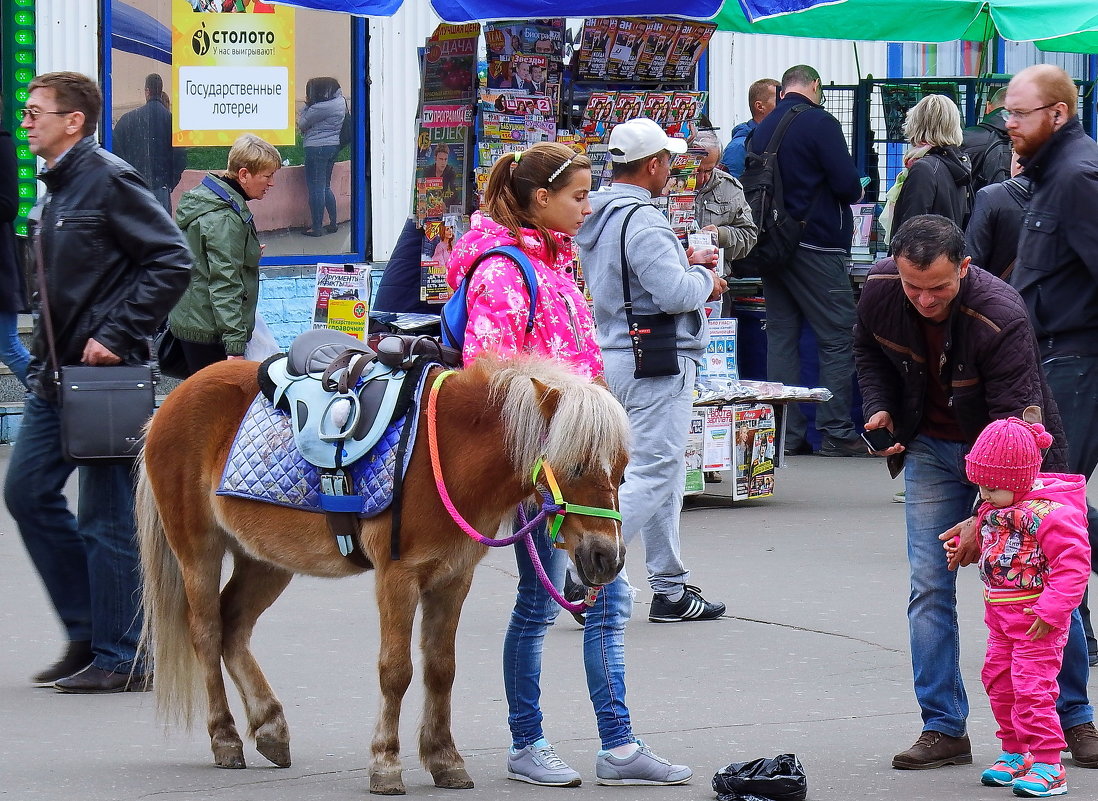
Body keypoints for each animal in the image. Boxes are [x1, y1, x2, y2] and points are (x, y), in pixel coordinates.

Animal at [139, 353, 628, 794]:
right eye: (576, 466)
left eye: (622, 472)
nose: (608, 558)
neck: (447, 452)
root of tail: (176, 395)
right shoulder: (398, 578)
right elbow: (396, 670)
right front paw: (386, 763)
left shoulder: (452, 580)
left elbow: (441, 669)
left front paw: (444, 759)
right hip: (198, 550)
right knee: (206, 632)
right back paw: (224, 737)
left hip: (266, 559)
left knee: (234, 627)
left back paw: (270, 726)